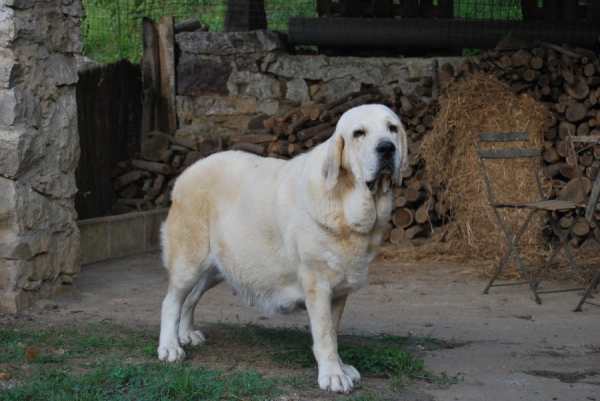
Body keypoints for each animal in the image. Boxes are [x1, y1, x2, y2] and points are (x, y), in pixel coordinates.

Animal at [157, 102, 408, 390]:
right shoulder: (317, 284)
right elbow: (325, 334)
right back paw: (170, 348)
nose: (386, 148)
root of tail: (185, 174)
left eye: (392, 128)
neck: (348, 205)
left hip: (217, 268)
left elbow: (332, 332)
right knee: (171, 302)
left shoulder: (339, 290)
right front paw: (332, 375)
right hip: (190, 262)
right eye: (359, 133)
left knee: (189, 299)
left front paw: (340, 367)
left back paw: (186, 334)